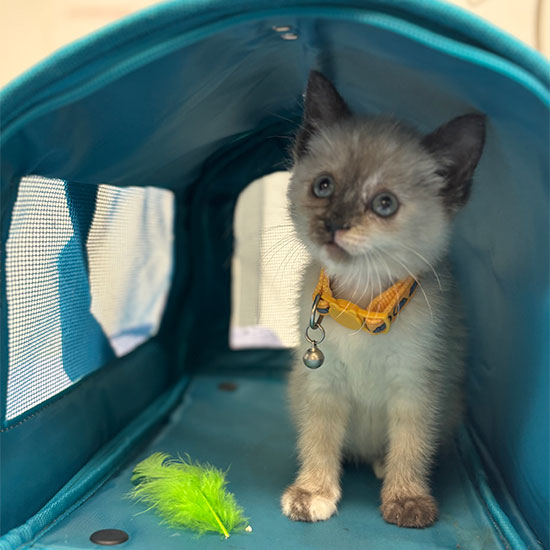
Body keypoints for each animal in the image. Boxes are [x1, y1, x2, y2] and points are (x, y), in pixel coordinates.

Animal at [281, 71, 485, 528]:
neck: (362, 308)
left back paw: (380, 463)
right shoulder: (321, 383)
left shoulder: (417, 386)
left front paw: (407, 499)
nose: (334, 224)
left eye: (384, 204)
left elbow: (412, 445)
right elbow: (318, 437)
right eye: (323, 186)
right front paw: (313, 492)